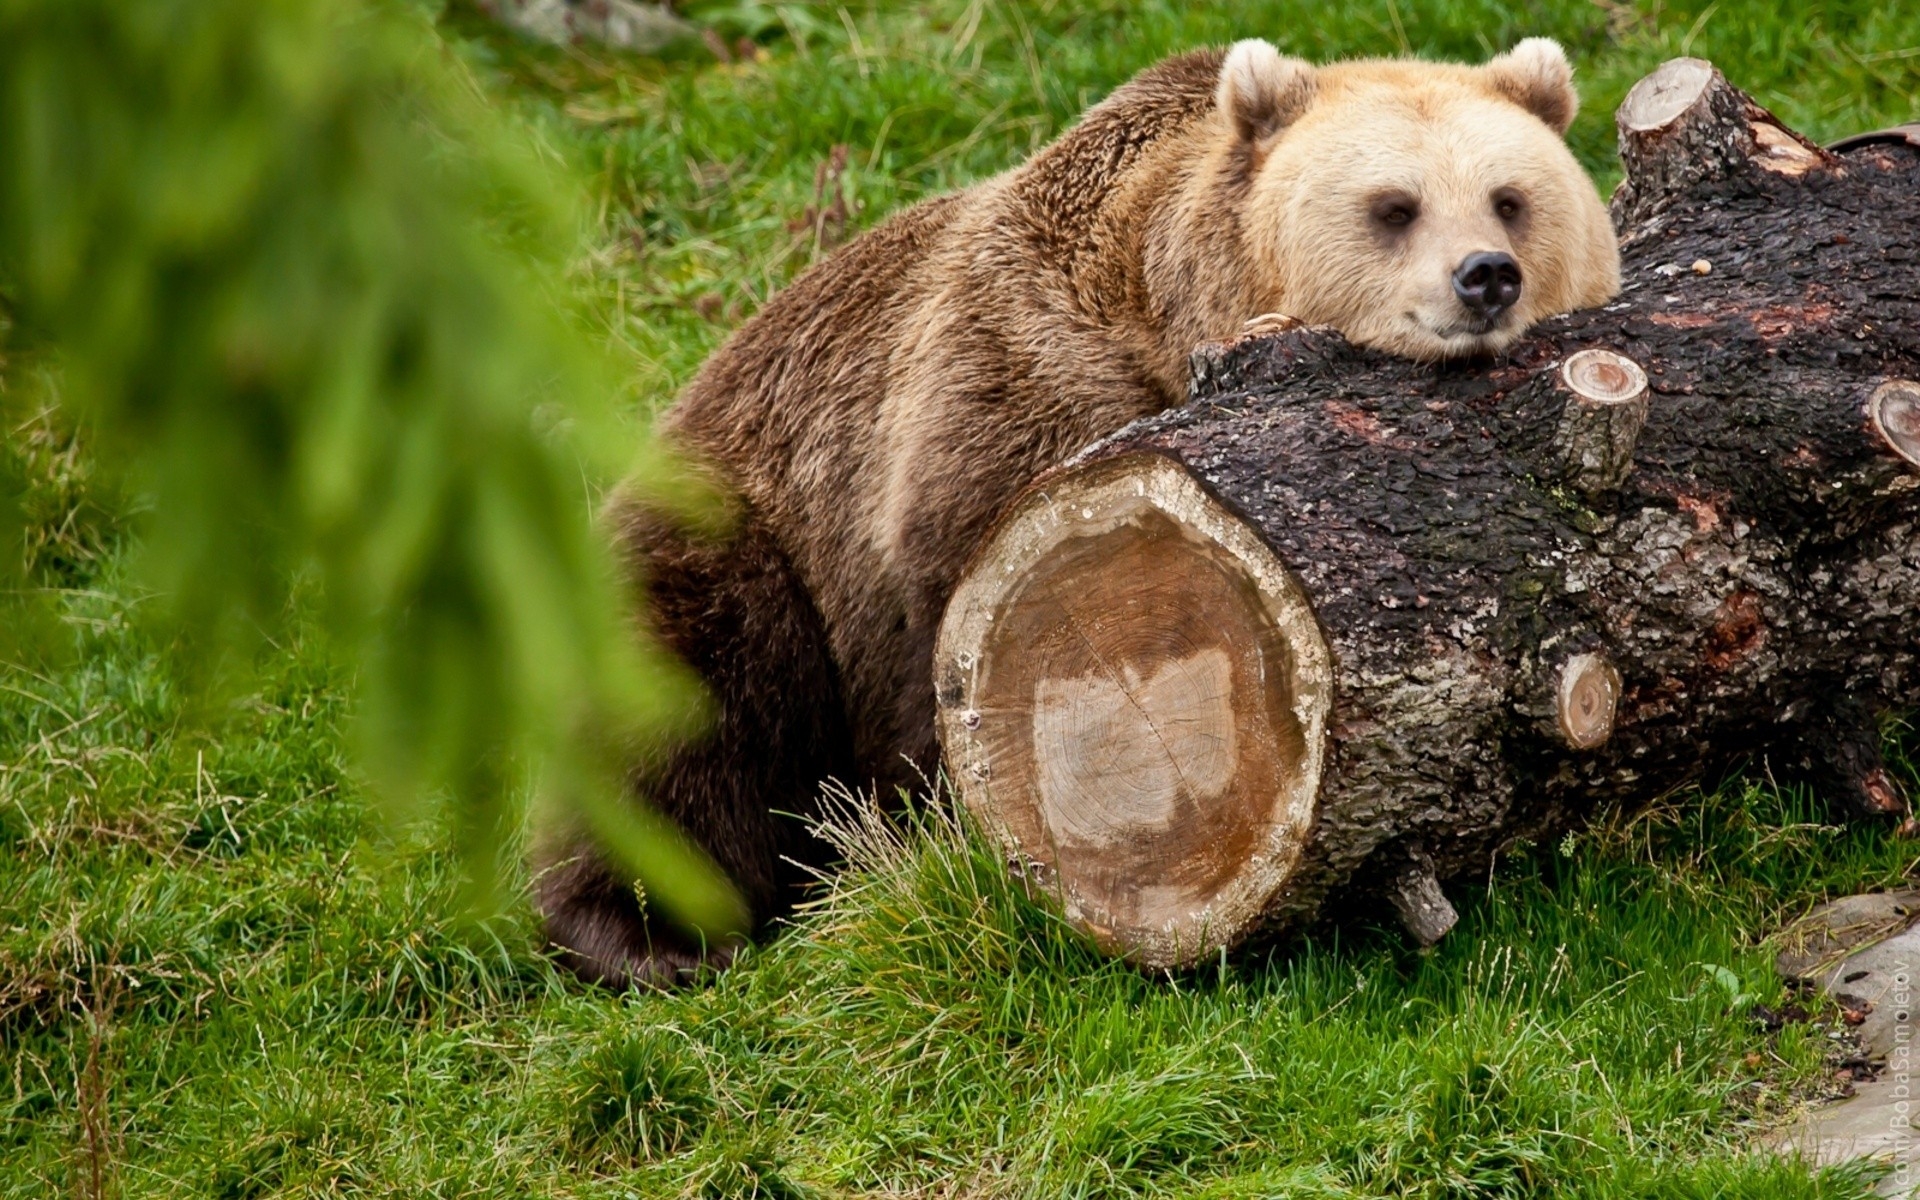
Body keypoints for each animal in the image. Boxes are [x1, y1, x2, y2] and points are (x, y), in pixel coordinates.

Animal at [536, 37, 1623, 987]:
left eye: (1510, 198)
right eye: (1393, 207)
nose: (1484, 277)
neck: (1172, 315)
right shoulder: (1009, 400)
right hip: (741, 533)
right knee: (675, 705)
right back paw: (651, 938)